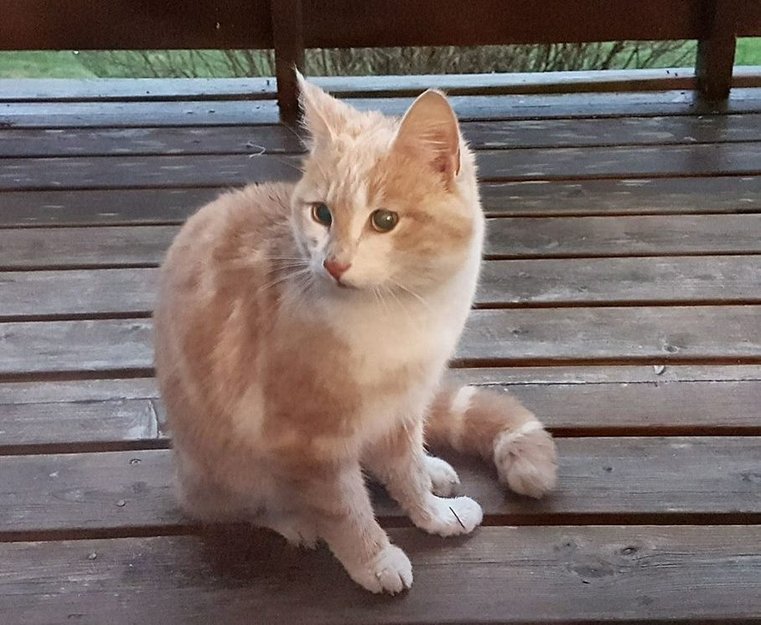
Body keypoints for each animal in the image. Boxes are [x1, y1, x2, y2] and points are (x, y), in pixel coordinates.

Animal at [153, 74, 557, 594]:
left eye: (384, 220)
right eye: (321, 214)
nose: (334, 263)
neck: (398, 316)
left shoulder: (404, 405)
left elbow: (406, 471)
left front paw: (433, 512)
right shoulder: (309, 440)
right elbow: (345, 508)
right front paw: (374, 560)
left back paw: (432, 468)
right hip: (222, 466)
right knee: (228, 504)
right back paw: (291, 519)